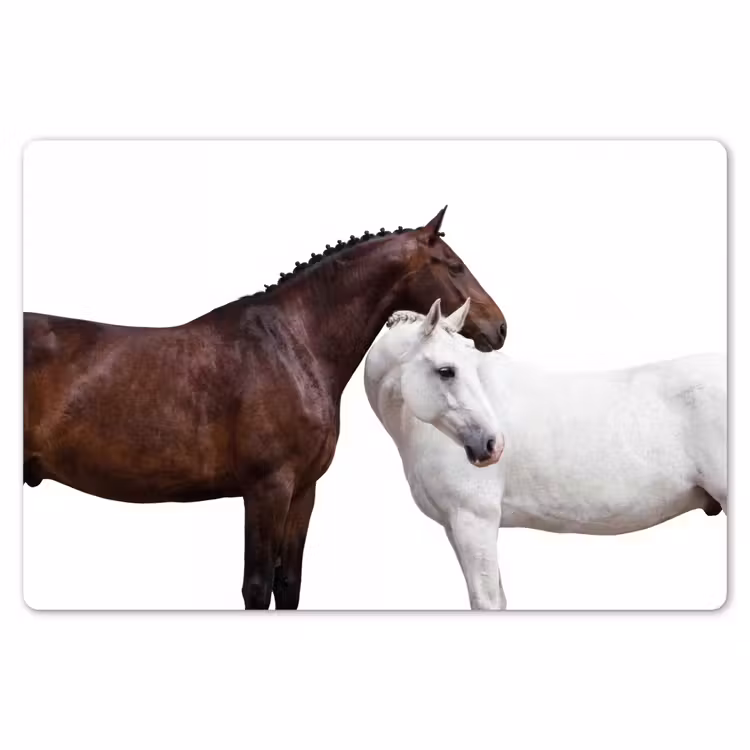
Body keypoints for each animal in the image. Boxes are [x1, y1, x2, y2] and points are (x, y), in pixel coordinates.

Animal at [23, 208, 508, 610]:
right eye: (454, 266)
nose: (500, 327)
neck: (292, 345)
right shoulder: (266, 489)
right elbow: (256, 587)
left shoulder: (303, 491)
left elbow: (288, 585)